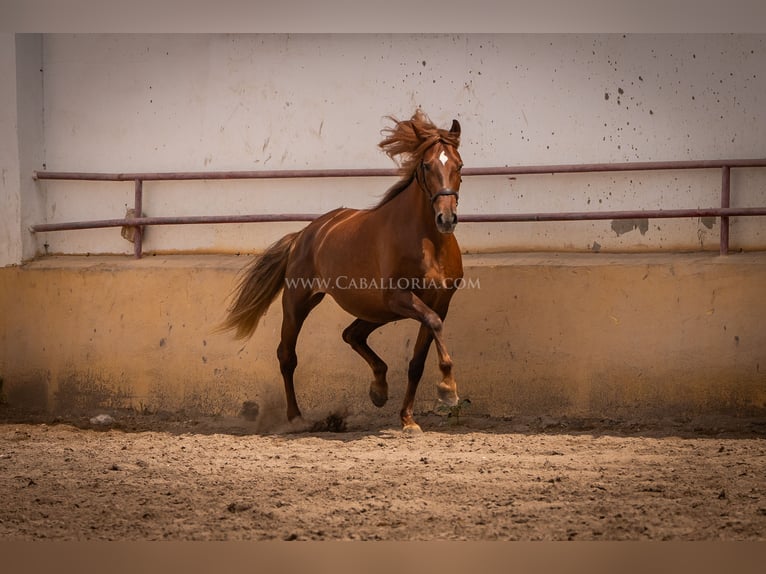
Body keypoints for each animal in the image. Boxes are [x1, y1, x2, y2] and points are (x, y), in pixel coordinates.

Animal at [219, 110, 464, 432]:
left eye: (459, 165)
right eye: (427, 165)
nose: (446, 218)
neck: (428, 242)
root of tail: (303, 235)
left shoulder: (439, 302)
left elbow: (417, 362)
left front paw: (408, 419)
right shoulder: (400, 297)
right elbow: (433, 324)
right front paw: (448, 390)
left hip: (377, 310)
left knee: (352, 334)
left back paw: (378, 390)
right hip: (299, 302)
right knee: (287, 355)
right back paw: (296, 417)